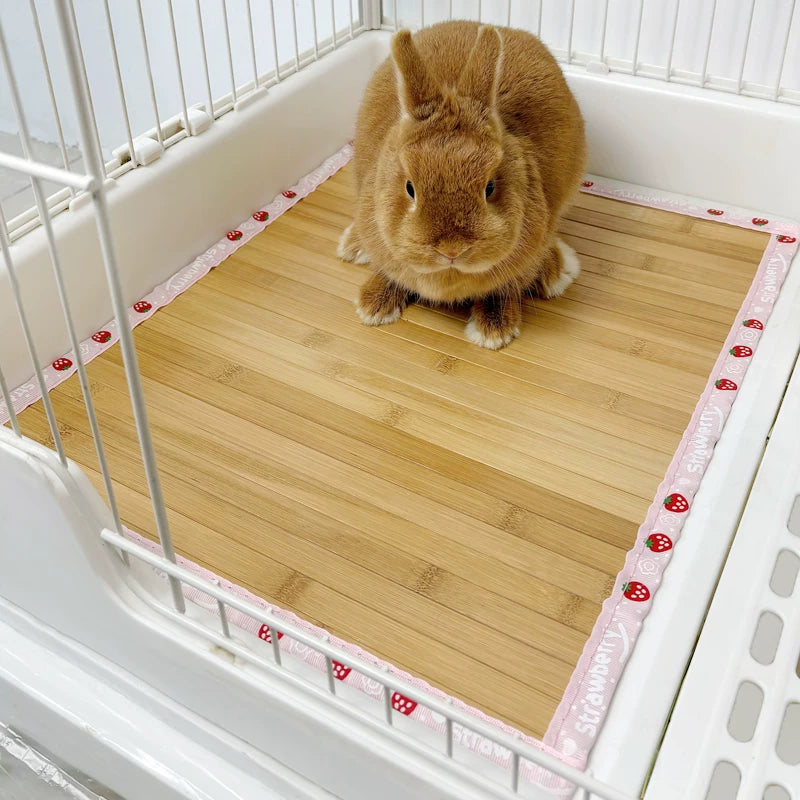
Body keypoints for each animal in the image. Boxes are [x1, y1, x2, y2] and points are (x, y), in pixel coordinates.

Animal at [338, 20, 587, 349]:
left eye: (489, 187)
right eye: (410, 188)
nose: (452, 249)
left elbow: (504, 289)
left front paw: (494, 331)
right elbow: (388, 271)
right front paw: (373, 307)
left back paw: (558, 272)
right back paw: (352, 246)